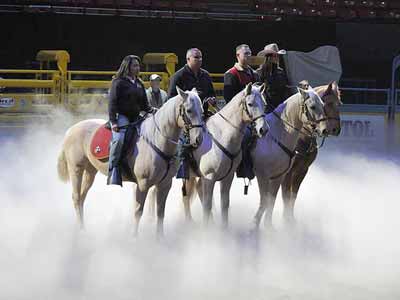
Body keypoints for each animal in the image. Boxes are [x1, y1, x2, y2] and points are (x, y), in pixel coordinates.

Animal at [57, 87, 203, 237]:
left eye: (202, 110)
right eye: (189, 110)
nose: (198, 139)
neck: (156, 139)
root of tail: (71, 130)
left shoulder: (165, 184)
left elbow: (160, 212)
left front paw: (160, 239)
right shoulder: (143, 184)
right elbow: (138, 212)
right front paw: (134, 238)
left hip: (90, 171)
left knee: (82, 197)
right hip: (76, 169)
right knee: (76, 197)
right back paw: (81, 230)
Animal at [180, 83, 268, 226]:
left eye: (264, 104)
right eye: (250, 104)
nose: (263, 129)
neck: (221, 136)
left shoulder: (227, 177)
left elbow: (224, 204)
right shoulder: (209, 178)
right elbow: (207, 206)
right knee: (186, 197)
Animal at [252, 85, 330, 231]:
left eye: (323, 105)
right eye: (312, 107)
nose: (325, 130)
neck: (277, 134)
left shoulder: (282, 175)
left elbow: (274, 199)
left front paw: (269, 225)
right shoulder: (264, 175)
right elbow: (269, 199)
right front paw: (255, 224)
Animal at [280, 82, 342, 225]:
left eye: (339, 104)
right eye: (328, 103)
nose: (335, 129)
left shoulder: (302, 170)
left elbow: (293, 195)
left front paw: (290, 219)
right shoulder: (288, 172)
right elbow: (286, 194)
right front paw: (286, 220)